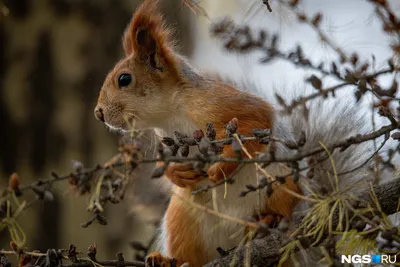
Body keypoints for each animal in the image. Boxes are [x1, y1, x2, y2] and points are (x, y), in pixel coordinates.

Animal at [93, 1, 372, 266]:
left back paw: (267, 222)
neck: (171, 114)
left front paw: (223, 167)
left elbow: (254, 126)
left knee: (282, 210)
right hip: (182, 218)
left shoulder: (228, 104)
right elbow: (167, 164)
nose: (98, 114)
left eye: (124, 79)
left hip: (281, 186)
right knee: (191, 257)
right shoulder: (169, 140)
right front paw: (176, 172)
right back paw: (168, 261)